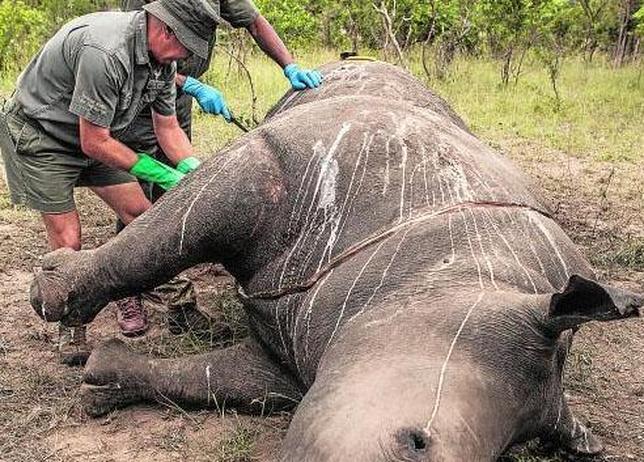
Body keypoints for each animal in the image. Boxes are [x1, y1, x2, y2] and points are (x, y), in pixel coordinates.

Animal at [31, 61, 644, 462]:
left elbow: (216, 381)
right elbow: (164, 237)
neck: (445, 267)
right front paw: (50, 294)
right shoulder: (278, 157)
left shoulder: (299, 357)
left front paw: (103, 382)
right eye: (414, 442)